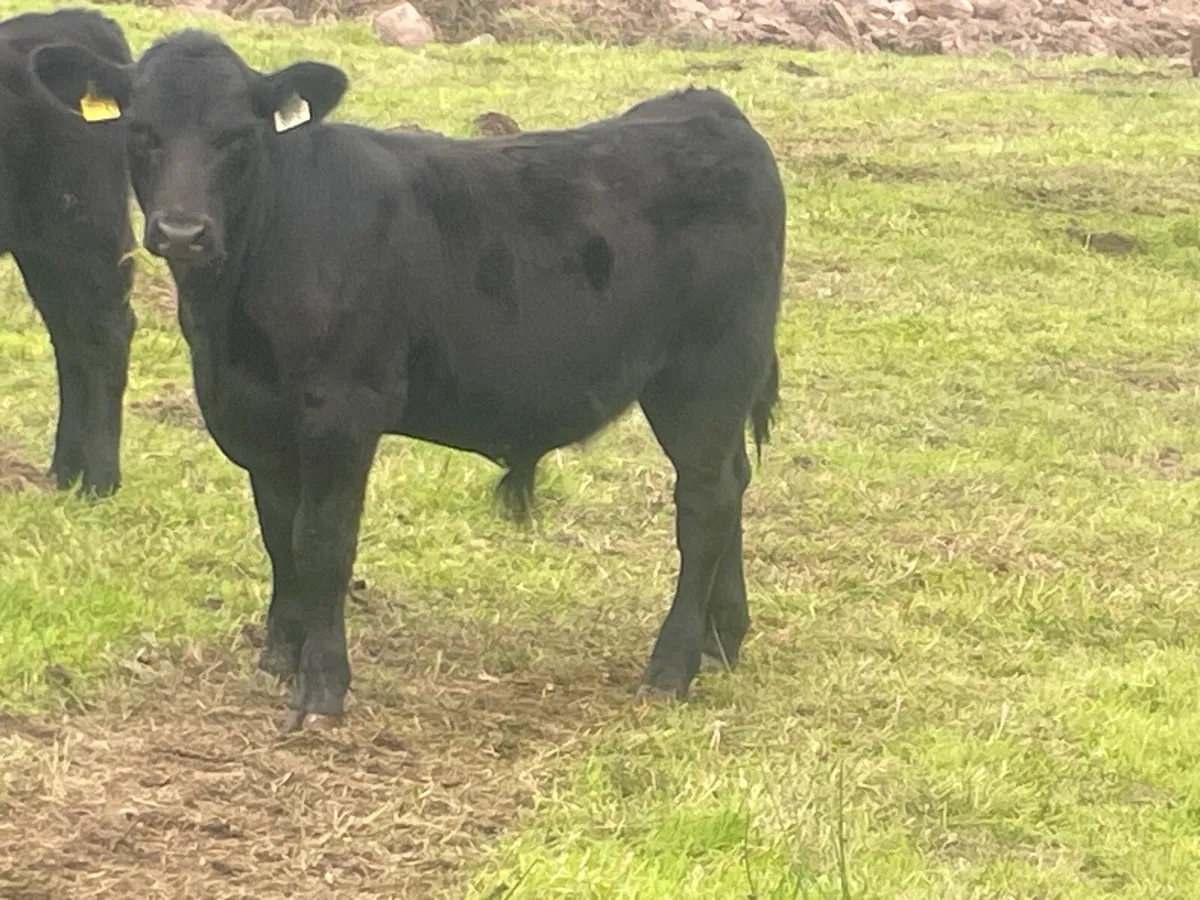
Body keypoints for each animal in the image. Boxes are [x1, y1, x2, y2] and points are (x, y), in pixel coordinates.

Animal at [0, 8, 136, 496]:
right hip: (44, 247)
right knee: (71, 338)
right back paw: (65, 472)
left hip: (84, 230)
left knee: (105, 334)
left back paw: (99, 481)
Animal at [31, 29, 785, 731]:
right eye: (140, 131)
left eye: (238, 136)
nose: (183, 231)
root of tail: (708, 109)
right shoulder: (256, 418)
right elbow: (278, 533)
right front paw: (280, 655)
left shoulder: (341, 410)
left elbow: (322, 540)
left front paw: (322, 687)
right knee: (733, 483)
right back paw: (723, 638)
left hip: (706, 374)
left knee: (705, 502)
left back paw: (671, 666)